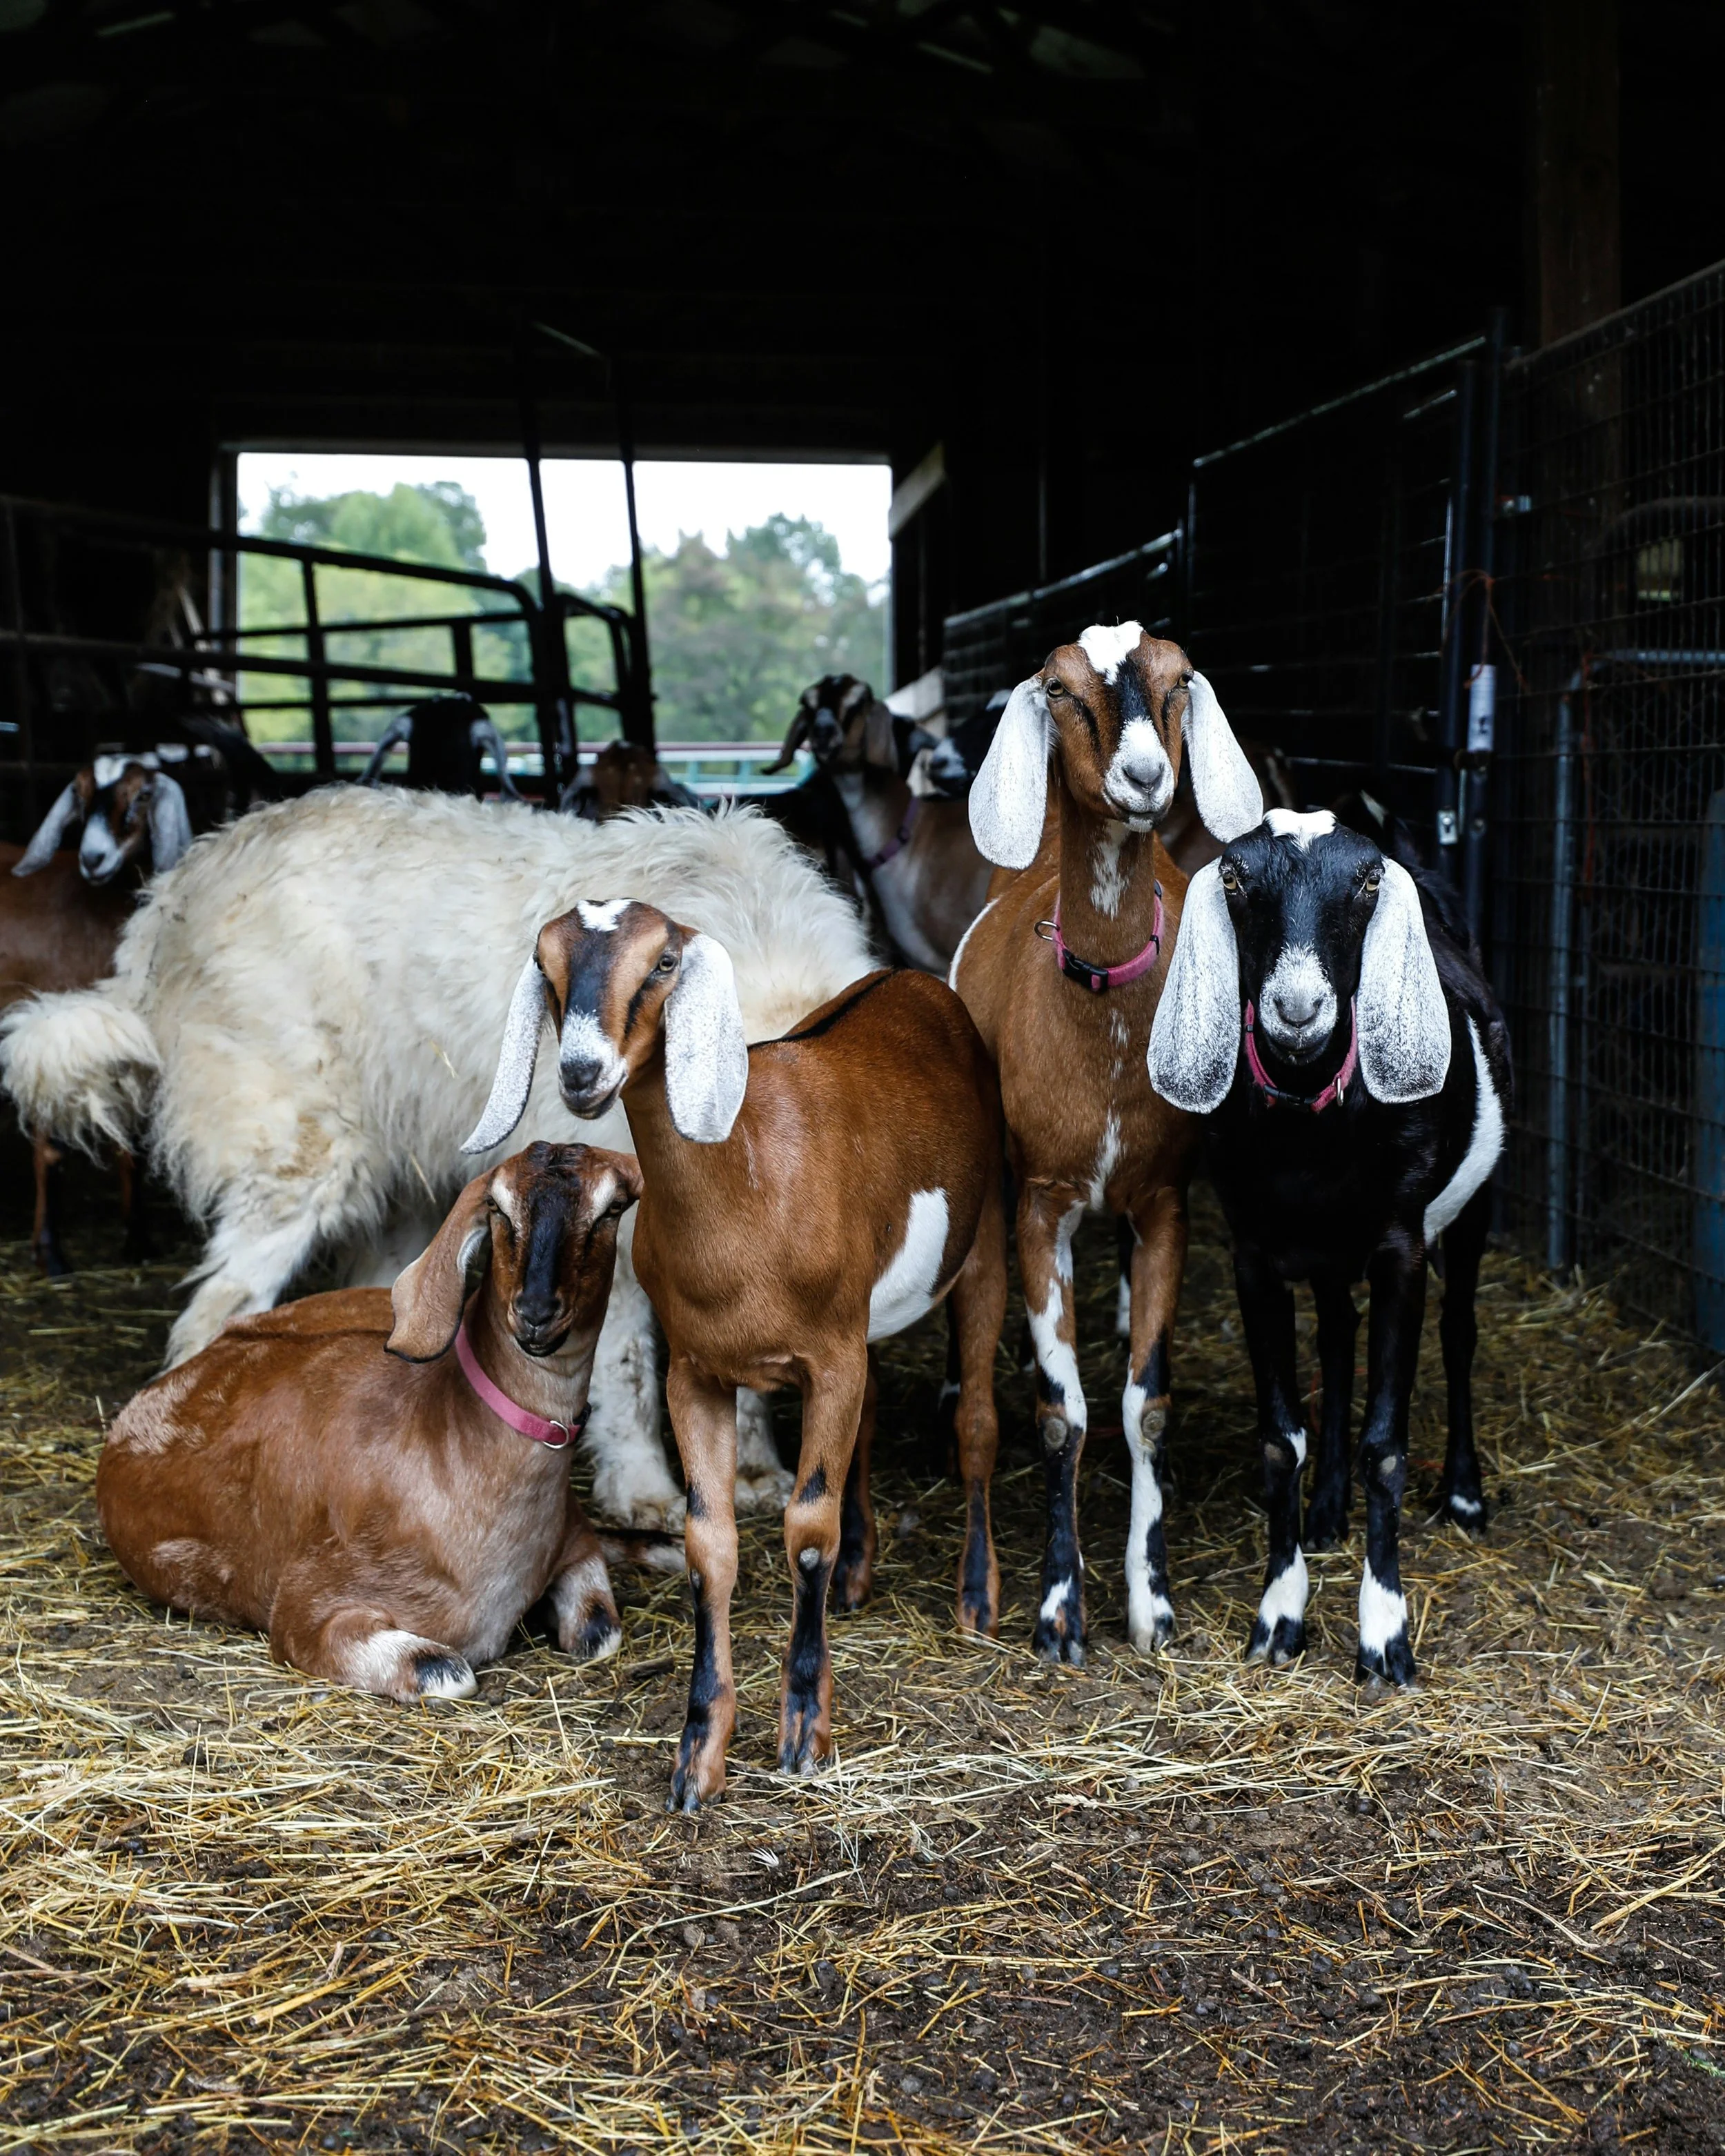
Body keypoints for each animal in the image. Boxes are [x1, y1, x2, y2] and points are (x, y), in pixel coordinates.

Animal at [3, 756, 194, 1270]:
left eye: (143, 794)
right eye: (82, 792)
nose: (93, 858)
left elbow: (130, 1147)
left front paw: (138, 1241)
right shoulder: (45, 1033)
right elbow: (50, 1149)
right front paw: (50, 1252)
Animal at [97, 1142, 636, 1700]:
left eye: (613, 1207)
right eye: (498, 1207)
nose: (534, 1312)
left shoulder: (574, 1538)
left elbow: (600, 1631)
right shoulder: (310, 1604)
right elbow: (447, 1669)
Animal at [463, 902, 1006, 1810]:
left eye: (662, 963)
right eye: (547, 962)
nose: (580, 1072)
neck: (749, 1179)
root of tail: (912, 979)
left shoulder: (828, 1357)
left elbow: (807, 1527)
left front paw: (803, 1732)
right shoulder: (698, 1373)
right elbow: (708, 1543)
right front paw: (697, 1758)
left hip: (988, 1246)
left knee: (975, 1418)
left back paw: (976, 1598)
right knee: (871, 1420)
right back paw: (858, 1576)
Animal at [952, 622, 1263, 1665]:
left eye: (1179, 682)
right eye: (1058, 689)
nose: (1143, 777)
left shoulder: (1164, 1201)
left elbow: (1144, 1409)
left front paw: (1151, 1601)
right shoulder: (1042, 1200)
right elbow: (1063, 1416)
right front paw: (1058, 1610)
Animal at [1148, 809, 1510, 1684]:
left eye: (1367, 881)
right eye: (1234, 878)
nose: (1297, 1004)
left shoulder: (1398, 1247)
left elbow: (1386, 1442)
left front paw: (1384, 1634)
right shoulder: (1255, 1252)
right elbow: (1282, 1439)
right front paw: (1280, 1613)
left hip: (1474, 1204)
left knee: (1458, 1330)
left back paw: (1463, 1493)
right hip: (1322, 1253)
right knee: (1340, 1336)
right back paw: (1326, 1508)